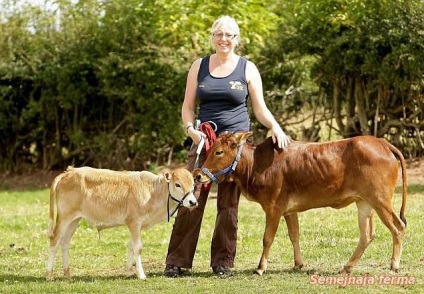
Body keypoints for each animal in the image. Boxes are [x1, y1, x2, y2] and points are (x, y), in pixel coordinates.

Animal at [45, 167, 198, 282]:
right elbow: (138, 247)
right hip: (65, 217)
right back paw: (49, 275)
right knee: (55, 240)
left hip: (74, 220)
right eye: (177, 184)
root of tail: (68, 172)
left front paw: (129, 272)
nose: (193, 202)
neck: (153, 192)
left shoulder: (135, 225)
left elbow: (131, 246)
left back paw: (67, 274)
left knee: (65, 242)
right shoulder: (134, 222)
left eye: (193, 184)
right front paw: (141, 275)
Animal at [195, 132, 408, 274]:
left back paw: (394, 265)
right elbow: (294, 235)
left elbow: (267, 239)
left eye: (219, 152)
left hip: (380, 199)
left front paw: (260, 268)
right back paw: (347, 266)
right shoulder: (289, 211)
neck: (256, 164)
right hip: (364, 203)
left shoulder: (273, 209)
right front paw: (298, 263)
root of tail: (382, 143)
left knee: (398, 227)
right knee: (367, 235)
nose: (197, 175)